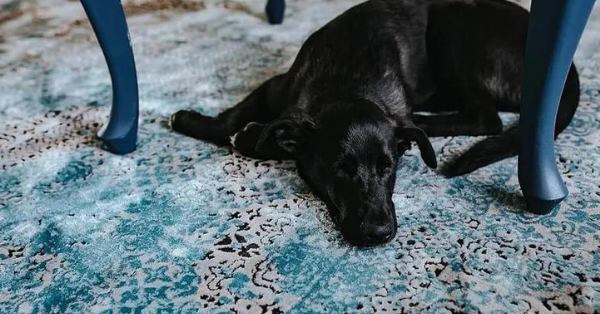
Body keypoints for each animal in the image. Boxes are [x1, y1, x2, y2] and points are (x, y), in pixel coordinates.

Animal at [169, 0, 576, 247]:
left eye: (389, 166)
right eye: (340, 169)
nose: (379, 233)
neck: (347, 84)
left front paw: (247, 135)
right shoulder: (276, 88)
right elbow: (231, 119)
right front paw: (199, 121)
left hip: (453, 27)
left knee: (485, 118)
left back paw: (422, 123)